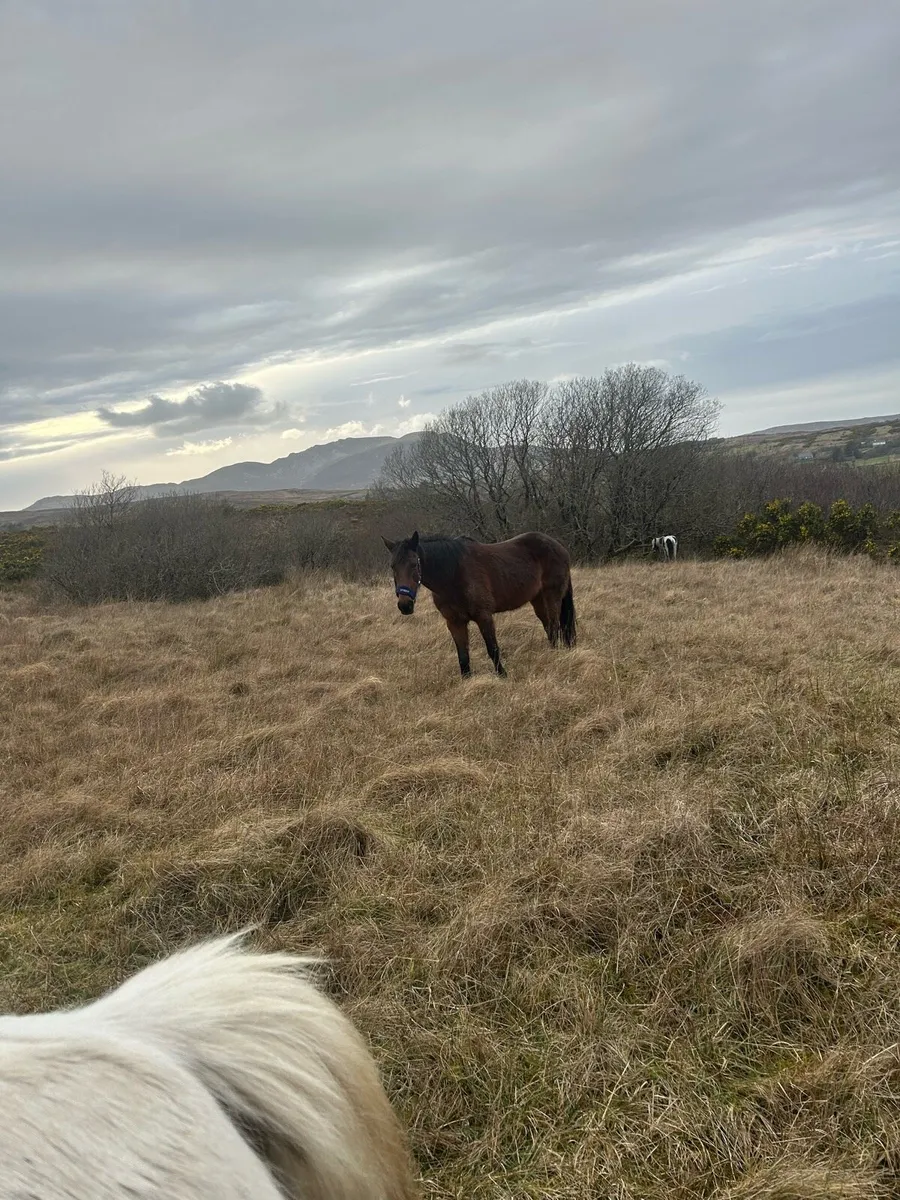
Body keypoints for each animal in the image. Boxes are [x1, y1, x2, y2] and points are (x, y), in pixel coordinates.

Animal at [381, 530, 576, 677]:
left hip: (552, 596)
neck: (453, 575)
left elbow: (493, 649)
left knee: (555, 626)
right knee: (549, 628)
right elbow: (463, 656)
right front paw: (467, 680)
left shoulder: (484, 617)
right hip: (538, 600)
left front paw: (503, 676)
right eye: (392, 566)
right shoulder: (455, 622)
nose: (405, 605)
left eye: (414, 564)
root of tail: (558, 545)